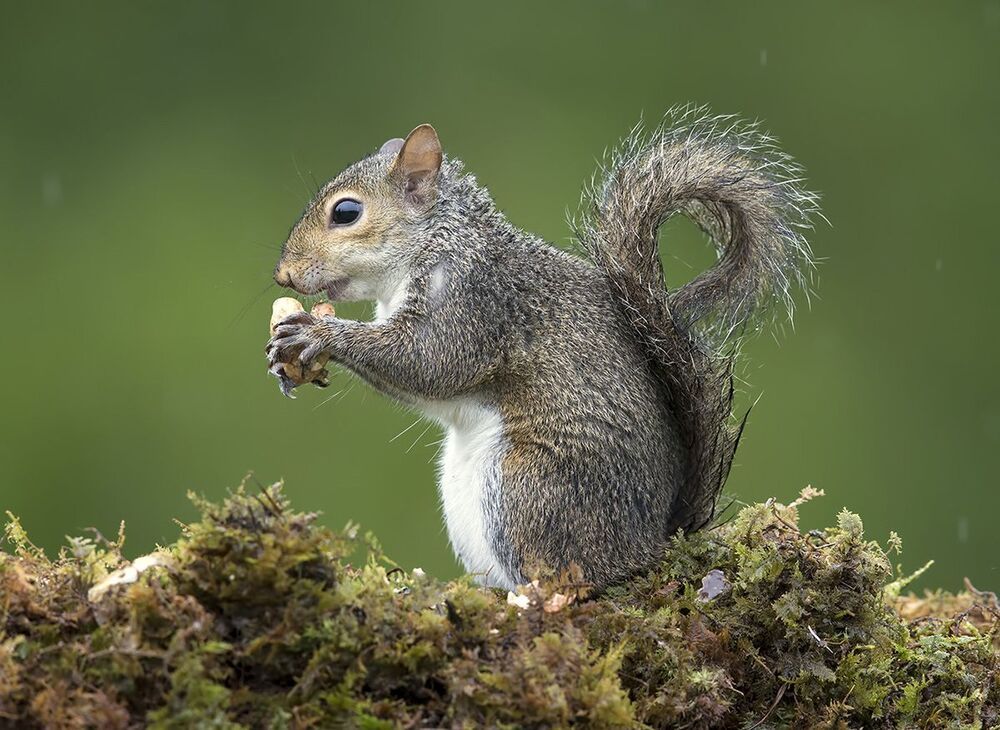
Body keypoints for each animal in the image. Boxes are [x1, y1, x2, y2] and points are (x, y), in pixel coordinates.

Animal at [266, 106, 818, 591]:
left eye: (346, 212)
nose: (283, 275)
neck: (437, 242)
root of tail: (653, 543)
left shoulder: (475, 304)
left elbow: (428, 362)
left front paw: (316, 334)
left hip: (527, 489)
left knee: (570, 576)